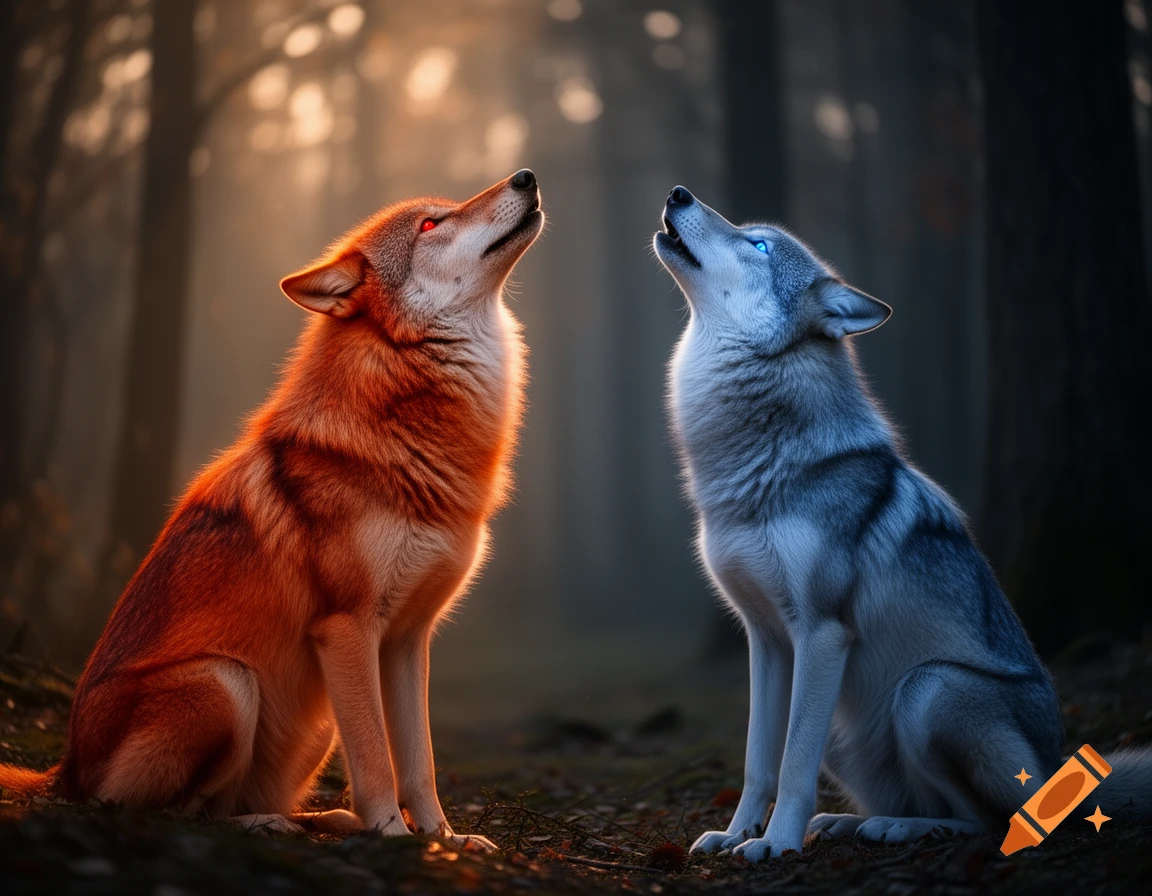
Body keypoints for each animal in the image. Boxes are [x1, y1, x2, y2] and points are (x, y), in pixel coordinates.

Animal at [0, 170, 544, 847]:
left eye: (445, 211)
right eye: (429, 224)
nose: (525, 176)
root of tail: (65, 768)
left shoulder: (407, 640)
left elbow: (419, 761)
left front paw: (441, 840)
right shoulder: (347, 629)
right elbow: (376, 761)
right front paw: (393, 834)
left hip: (314, 720)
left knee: (221, 803)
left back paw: (321, 820)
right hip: (228, 682)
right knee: (167, 810)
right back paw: (276, 825)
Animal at [653, 185, 1152, 861]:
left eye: (757, 244)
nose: (678, 193)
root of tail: (1063, 776)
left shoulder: (822, 632)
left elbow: (792, 762)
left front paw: (775, 845)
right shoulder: (767, 641)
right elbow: (761, 760)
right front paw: (735, 836)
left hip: (925, 691)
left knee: (992, 821)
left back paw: (899, 829)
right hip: (848, 727)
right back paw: (854, 824)